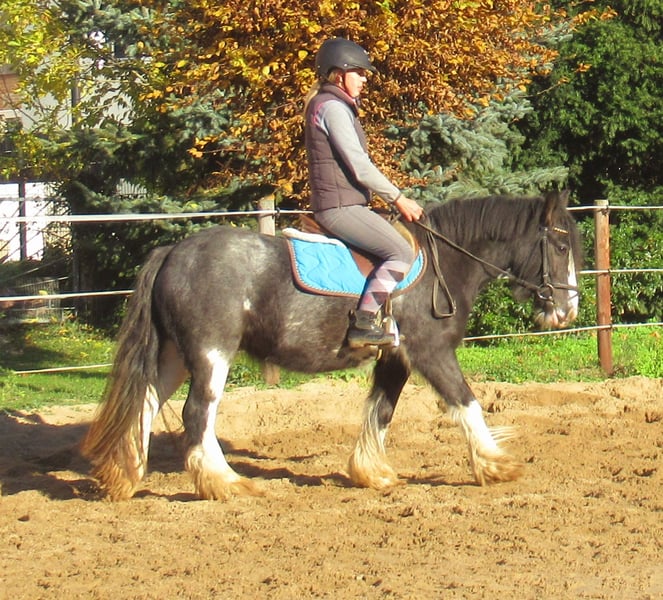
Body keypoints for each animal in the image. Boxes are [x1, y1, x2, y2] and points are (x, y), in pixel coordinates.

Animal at [82, 190, 581, 501]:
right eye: (560, 249)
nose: (568, 309)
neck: (445, 262)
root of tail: (172, 252)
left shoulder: (395, 357)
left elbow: (381, 410)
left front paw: (372, 472)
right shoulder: (430, 351)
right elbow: (466, 401)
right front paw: (496, 465)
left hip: (174, 354)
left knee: (146, 402)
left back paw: (126, 475)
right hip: (211, 353)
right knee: (196, 413)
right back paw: (225, 483)